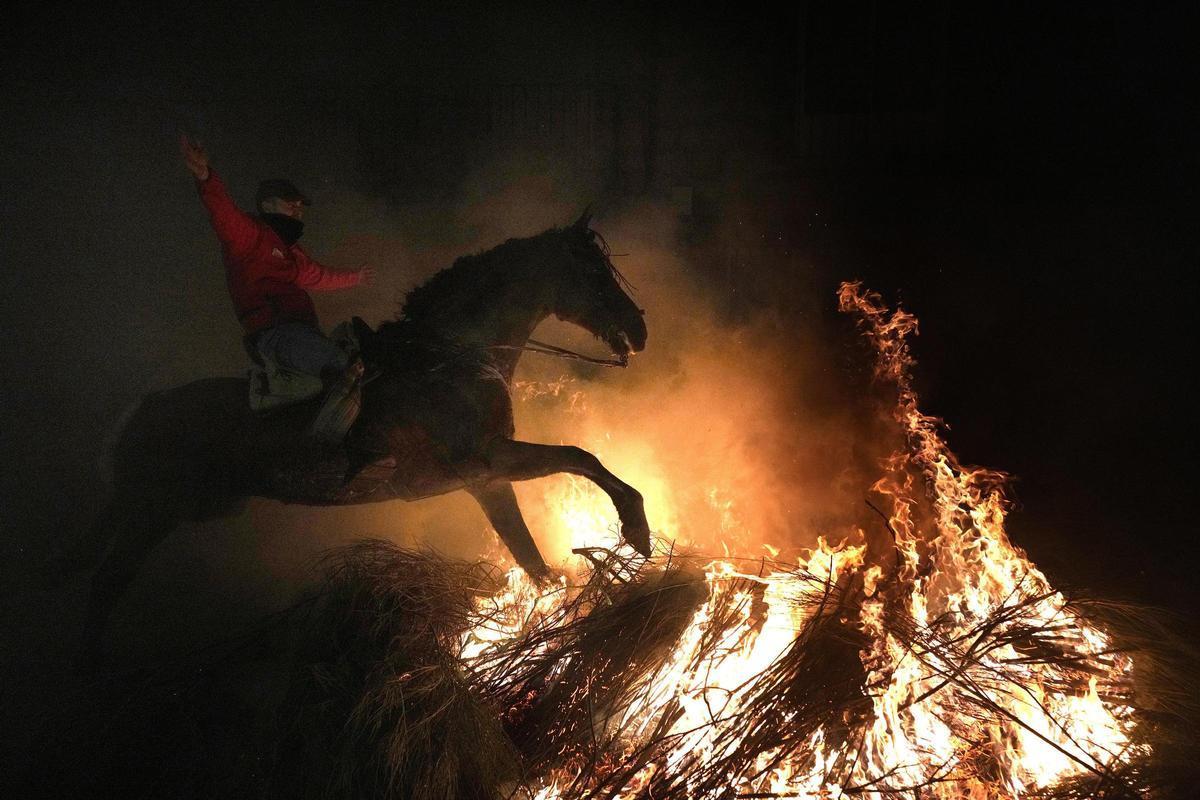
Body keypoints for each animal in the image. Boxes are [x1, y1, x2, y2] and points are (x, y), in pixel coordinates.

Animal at [66, 211, 652, 662]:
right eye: (592, 272)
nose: (640, 331)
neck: (451, 354)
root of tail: (140, 411)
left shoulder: (488, 482)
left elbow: (530, 556)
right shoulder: (490, 460)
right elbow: (581, 457)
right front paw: (637, 529)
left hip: (152, 511)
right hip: (152, 515)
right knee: (103, 585)